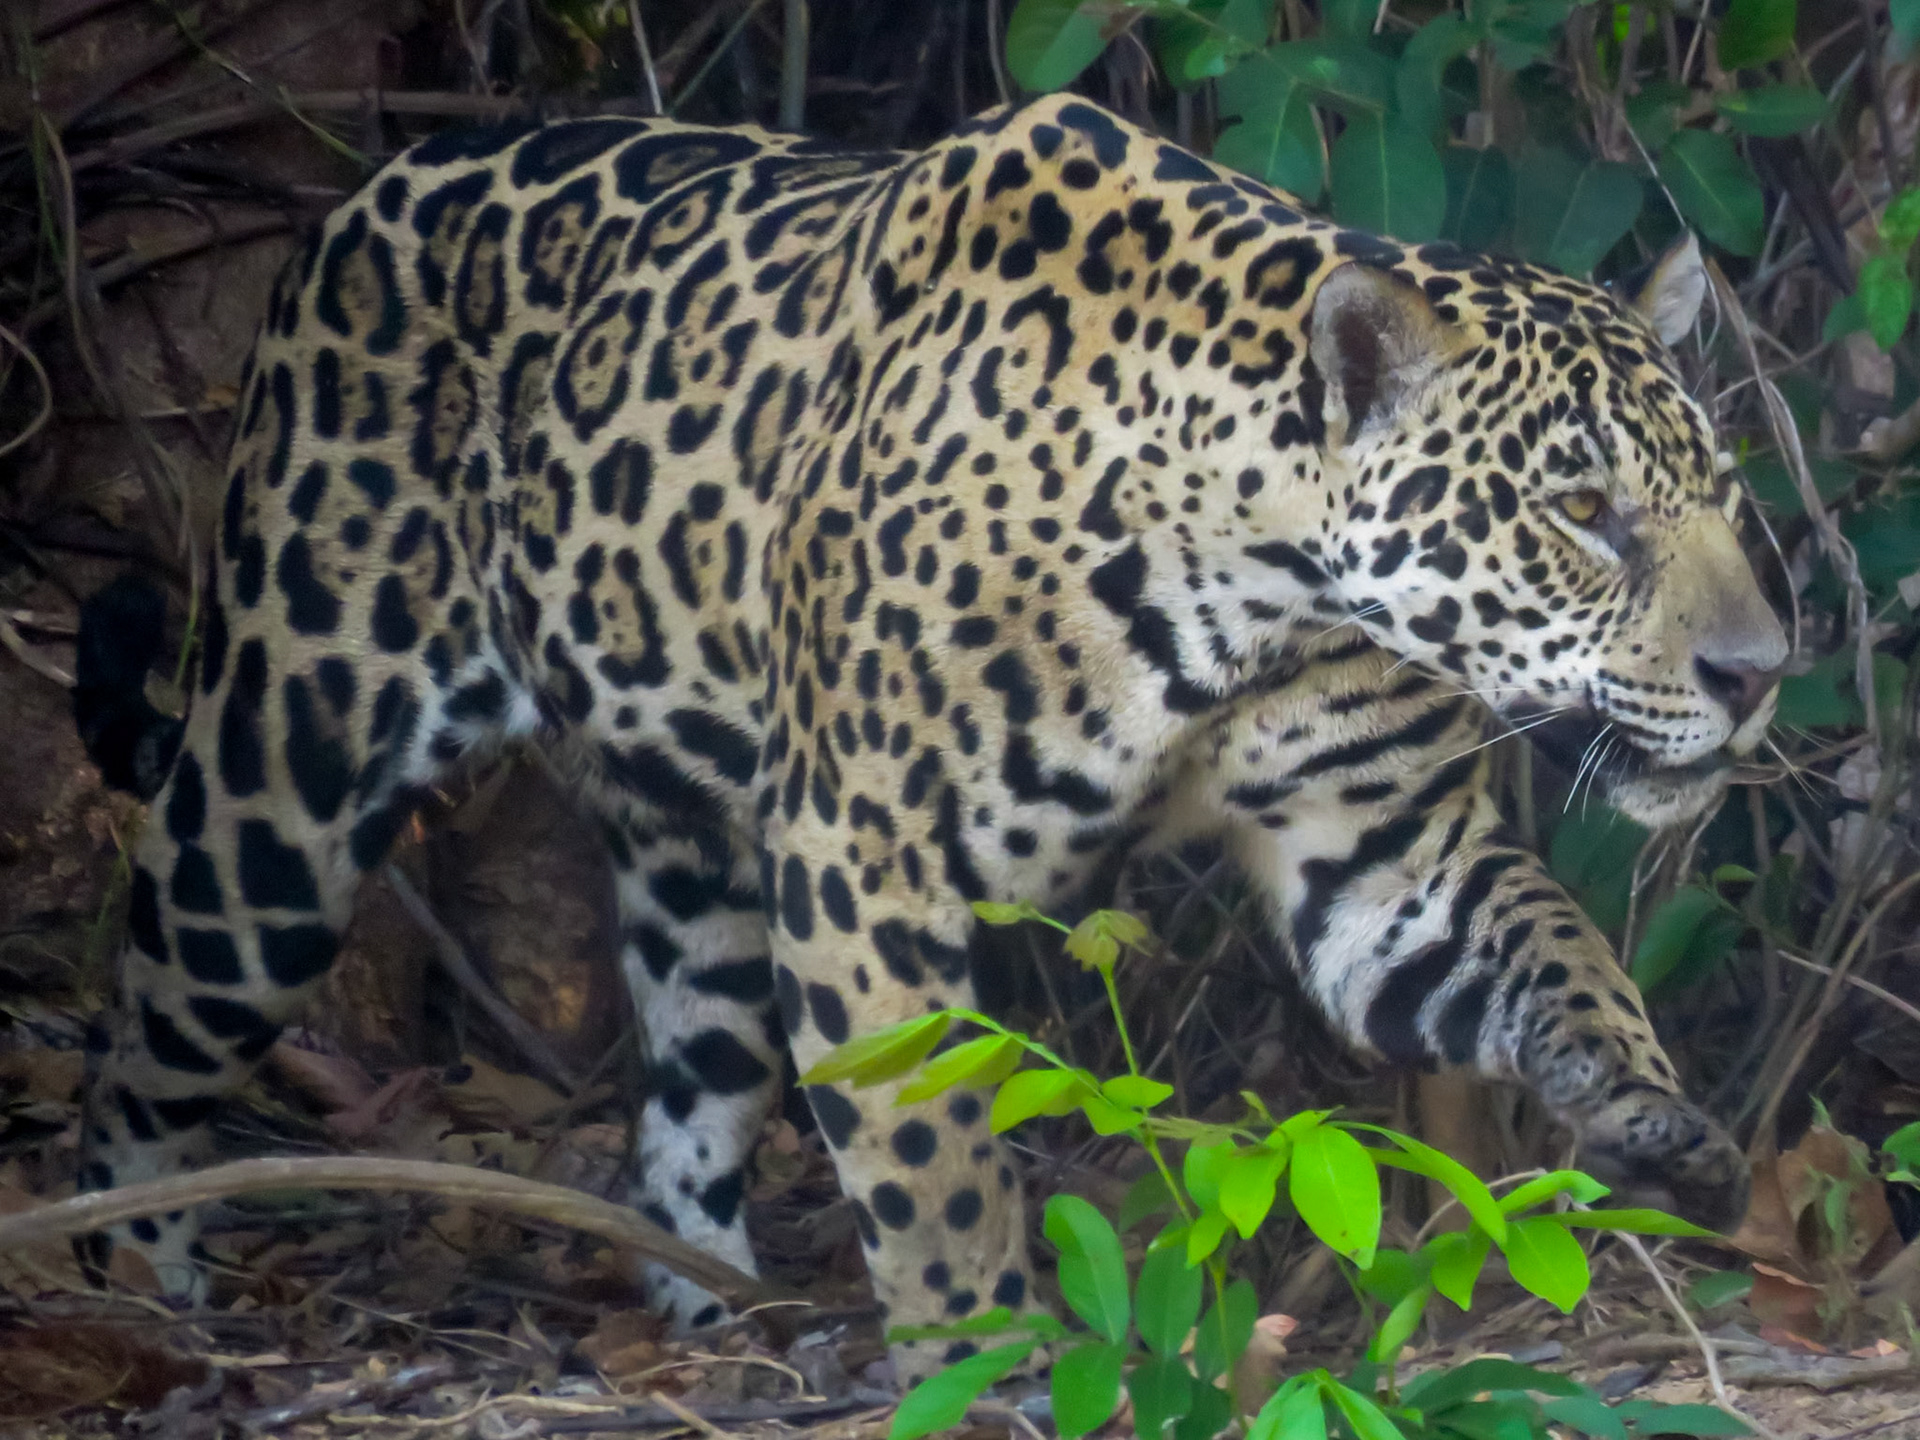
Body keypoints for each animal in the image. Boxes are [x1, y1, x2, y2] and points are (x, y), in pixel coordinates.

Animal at [73, 92, 1785, 1383]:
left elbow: (1559, 951)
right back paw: (127, 1286)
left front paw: (1654, 1121)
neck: (1260, 585)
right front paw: (985, 1351)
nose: (1763, 671)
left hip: (697, 861)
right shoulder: (866, 863)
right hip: (281, 782)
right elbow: (933, 1145)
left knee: (686, 1102)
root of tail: (362, 196)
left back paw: (726, 1318)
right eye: (1582, 511)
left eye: (1718, 492)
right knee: (146, 1033)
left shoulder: (1383, 858)